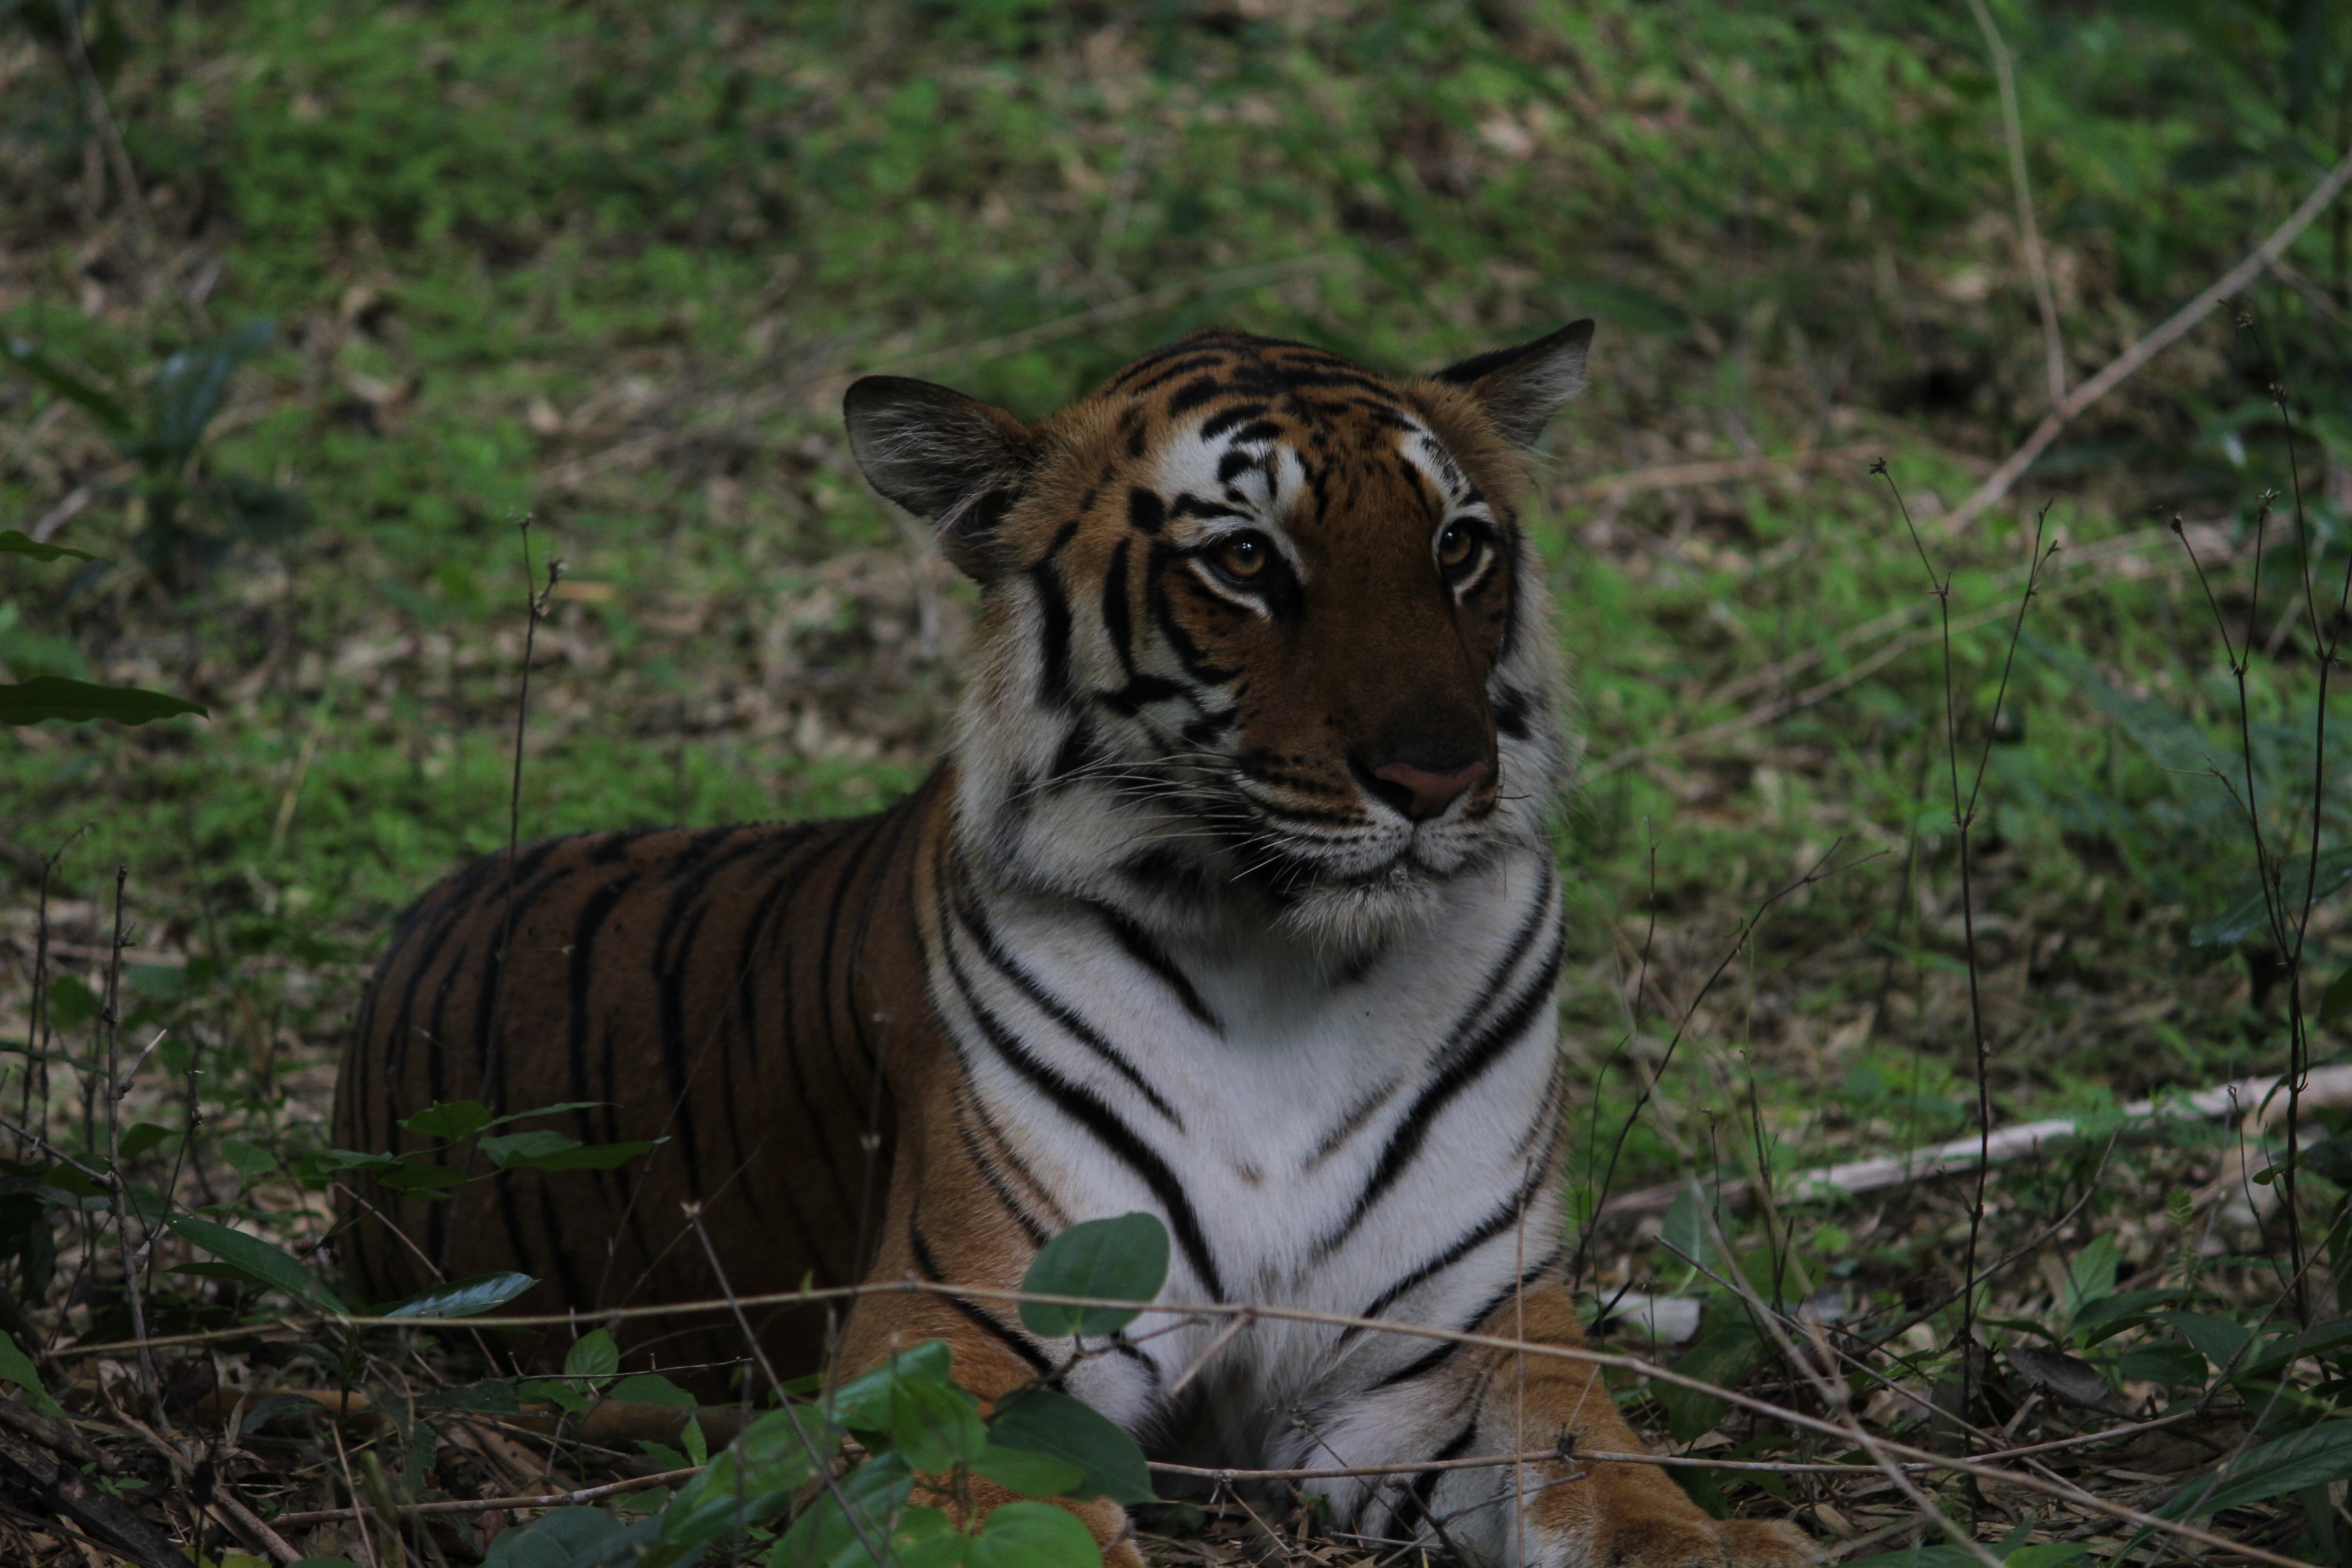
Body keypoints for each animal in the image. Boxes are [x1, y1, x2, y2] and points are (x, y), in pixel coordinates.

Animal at [331, 322, 1797, 1568]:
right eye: (1245, 559)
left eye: (1458, 547)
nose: (1440, 777)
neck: (1290, 967)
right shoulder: (953, 1338)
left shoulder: (1451, 1341)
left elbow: (1597, 1469)